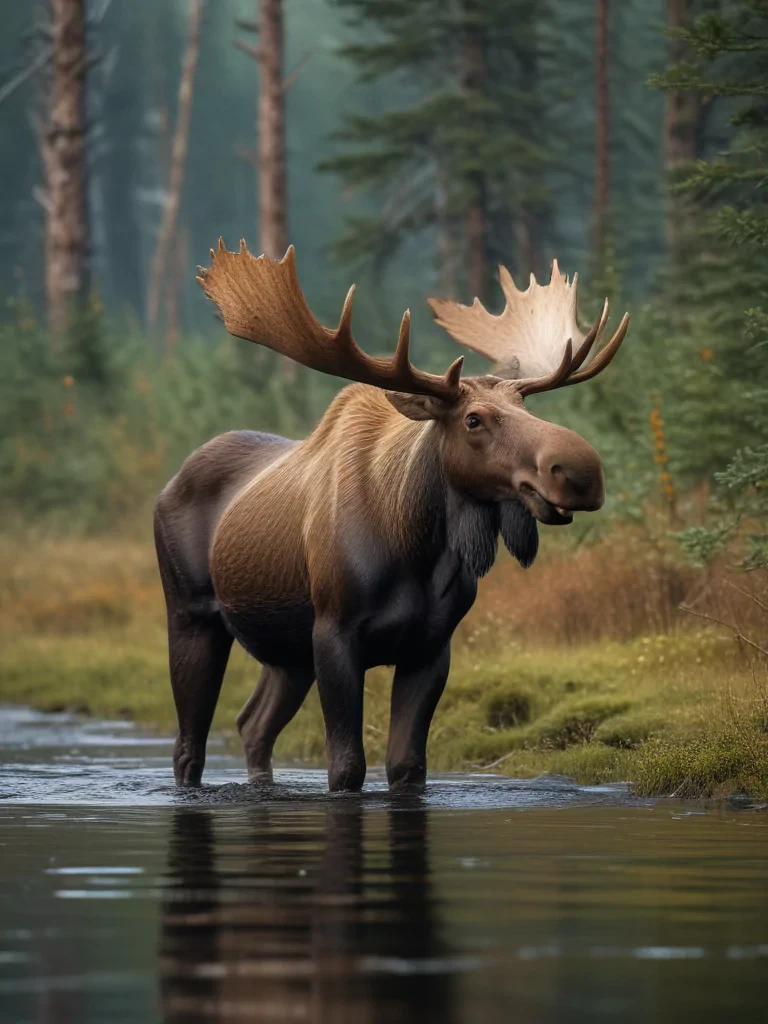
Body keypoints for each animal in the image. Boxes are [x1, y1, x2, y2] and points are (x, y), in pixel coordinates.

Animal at [154, 241, 630, 792]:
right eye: (473, 419)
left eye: (526, 409)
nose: (581, 471)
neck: (417, 548)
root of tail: (168, 484)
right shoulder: (334, 633)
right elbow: (346, 768)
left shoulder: (432, 646)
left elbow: (407, 765)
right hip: (192, 614)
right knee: (189, 746)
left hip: (287, 652)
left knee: (252, 725)